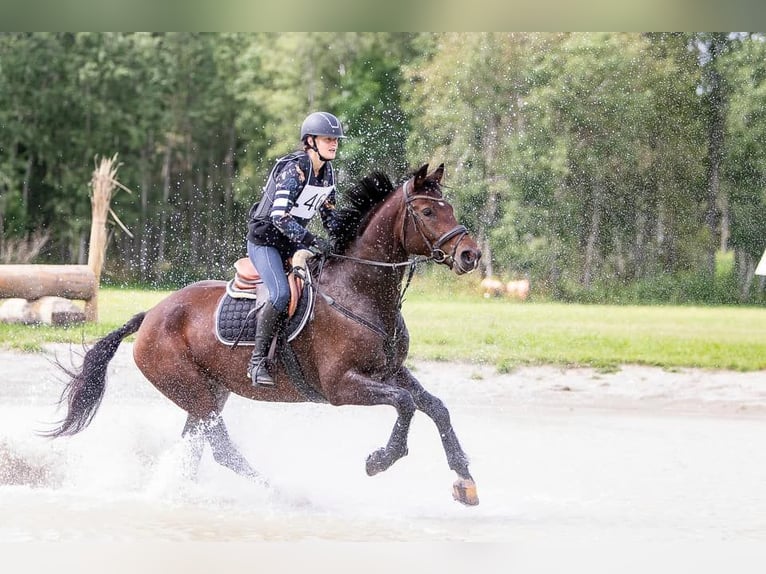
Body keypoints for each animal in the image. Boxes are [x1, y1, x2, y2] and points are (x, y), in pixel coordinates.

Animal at [45, 164, 484, 506]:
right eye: (427, 211)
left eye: (448, 208)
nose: (470, 255)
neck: (358, 291)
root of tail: (150, 314)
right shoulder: (341, 387)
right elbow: (406, 404)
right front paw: (380, 460)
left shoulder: (390, 372)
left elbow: (434, 406)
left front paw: (465, 480)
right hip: (192, 389)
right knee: (221, 448)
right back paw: (280, 492)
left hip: (207, 391)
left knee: (197, 445)